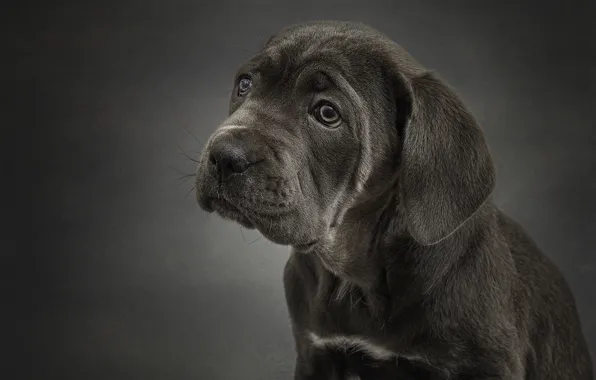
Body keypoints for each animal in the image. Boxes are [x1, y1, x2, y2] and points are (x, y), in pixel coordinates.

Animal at [194, 21, 592, 380]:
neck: (356, 278)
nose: (225, 156)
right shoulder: (315, 353)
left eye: (327, 113)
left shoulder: (486, 365)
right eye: (245, 84)